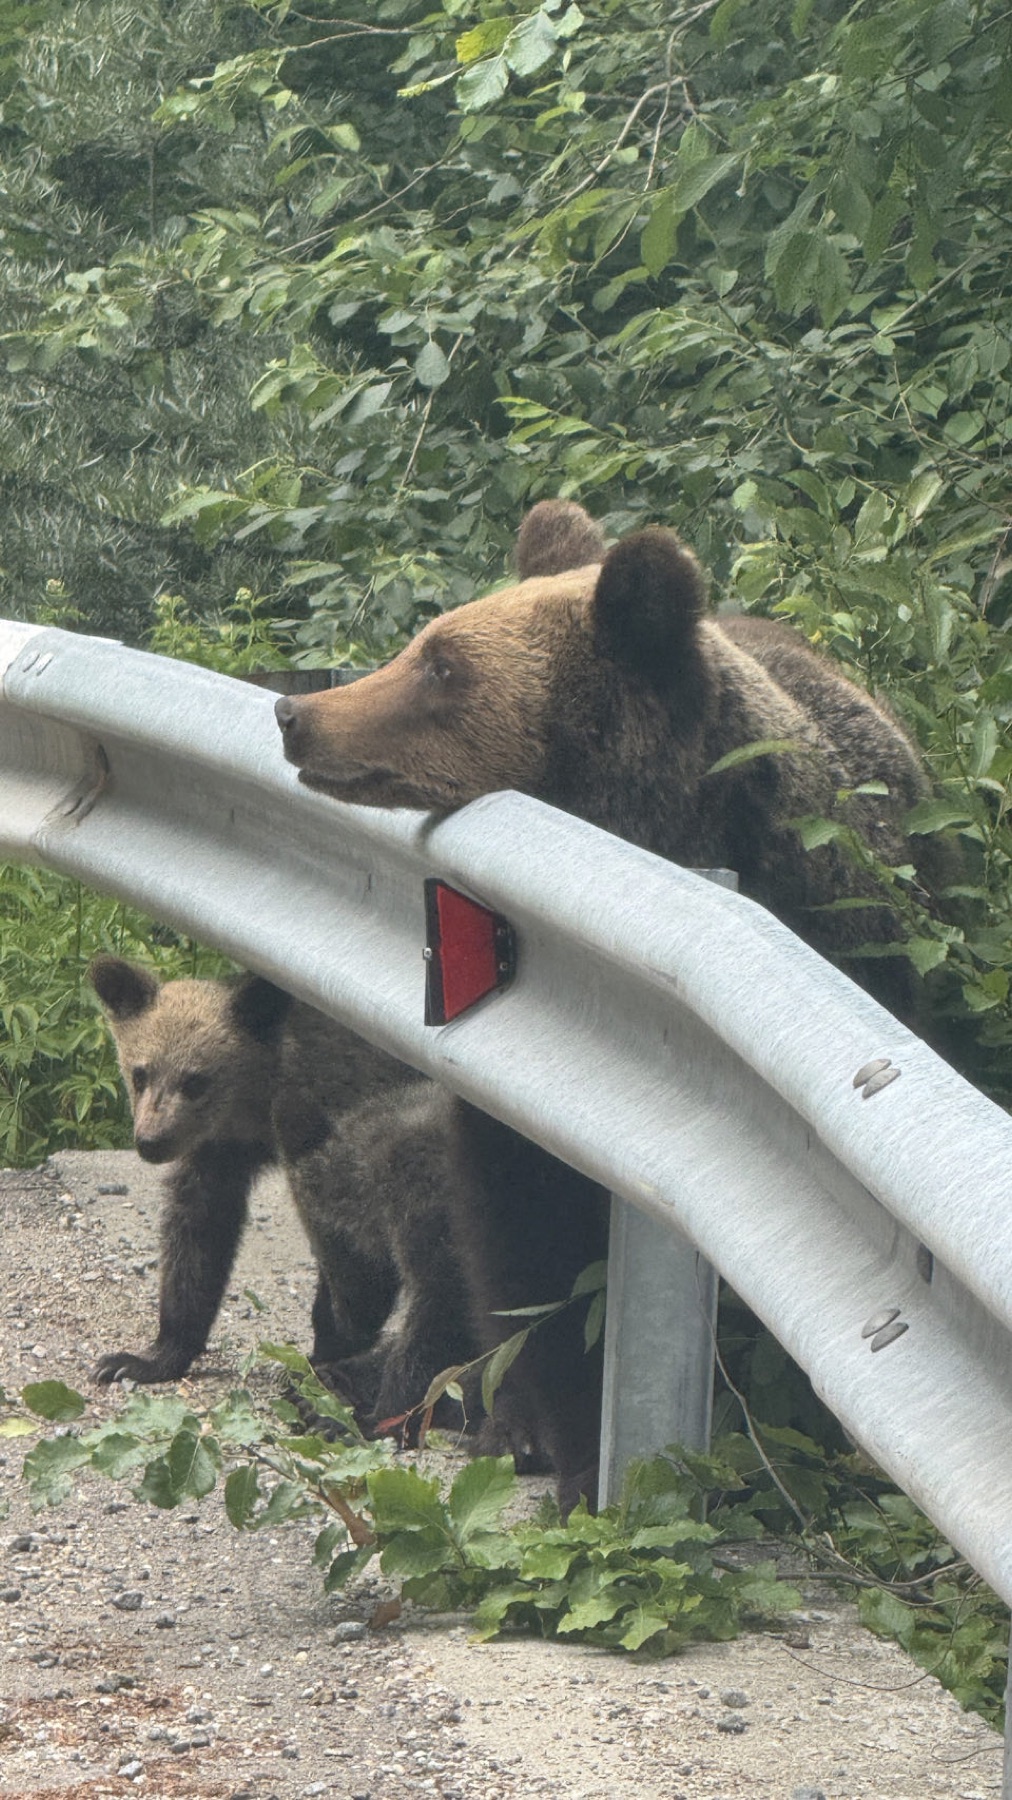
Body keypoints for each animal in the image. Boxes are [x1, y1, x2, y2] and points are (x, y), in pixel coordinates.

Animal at [89, 955, 477, 1437]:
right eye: (140, 1072)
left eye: (196, 1080)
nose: (151, 1141)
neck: (259, 1096)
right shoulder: (221, 1150)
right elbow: (199, 1230)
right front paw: (145, 1357)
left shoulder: (328, 1121)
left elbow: (354, 1252)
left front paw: (331, 1347)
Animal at [272, 501, 937, 1505]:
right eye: (428, 641)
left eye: (442, 664)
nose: (295, 713)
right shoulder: (530, 1098)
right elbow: (532, 1248)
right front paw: (550, 1435)